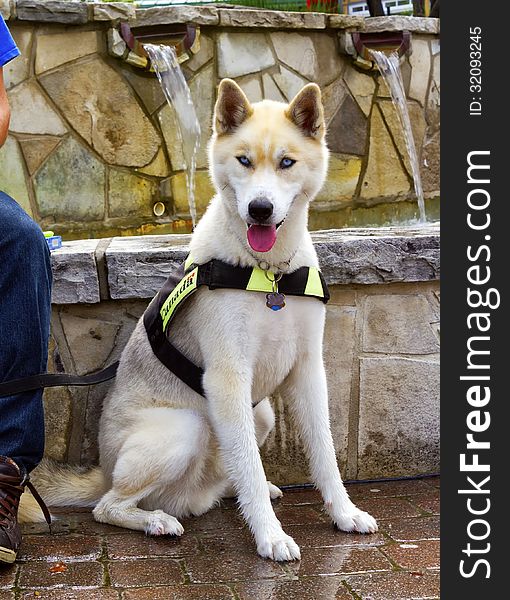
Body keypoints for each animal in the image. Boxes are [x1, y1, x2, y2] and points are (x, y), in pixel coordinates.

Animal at [19, 78, 376, 556]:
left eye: (287, 162)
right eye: (244, 160)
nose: (259, 209)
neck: (269, 275)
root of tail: (104, 469)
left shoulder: (307, 372)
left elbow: (323, 456)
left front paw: (344, 513)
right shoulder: (227, 377)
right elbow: (251, 467)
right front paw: (270, 536)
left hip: (261, 414)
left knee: (227, 475)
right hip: (184, 428)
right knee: (108, 506)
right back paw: (155, 519)